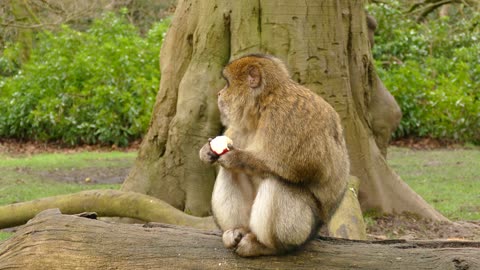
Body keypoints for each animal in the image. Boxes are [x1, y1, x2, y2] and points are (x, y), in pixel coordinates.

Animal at [199, 53, 348, 258]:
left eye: (227, 84)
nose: (219, 94)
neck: (264, 104)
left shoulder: (287, 116)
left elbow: (305, 166)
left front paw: (236, 158)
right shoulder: (245, 124)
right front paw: (206, 151)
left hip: (303, 230)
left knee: (277, 182)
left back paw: (267, 246)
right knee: (230, 172)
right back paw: (237, 230)